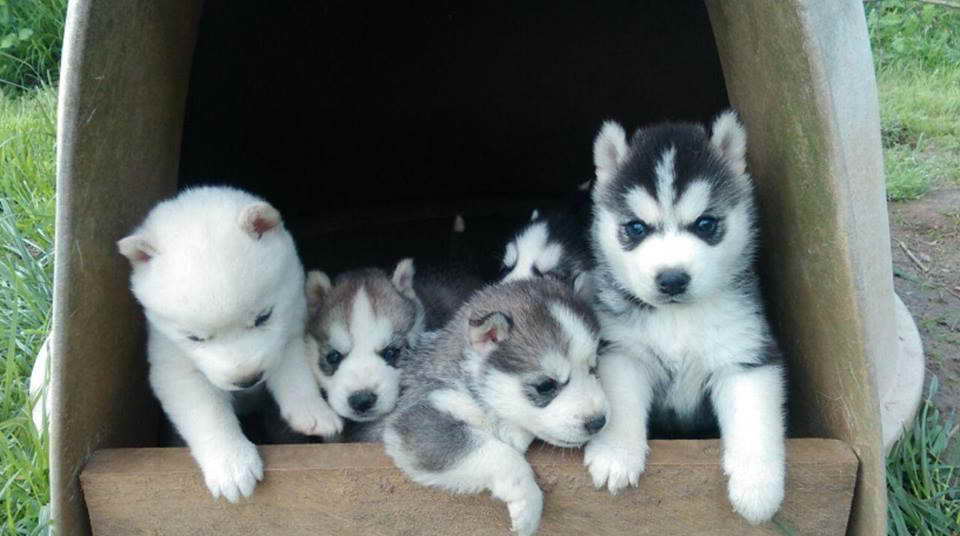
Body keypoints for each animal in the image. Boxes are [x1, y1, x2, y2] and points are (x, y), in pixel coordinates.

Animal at [116, 185, 344, 502]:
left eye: (263, 317)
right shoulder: (175, 369)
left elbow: (294, 374)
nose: (247, 380)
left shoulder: (289, 328)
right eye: (194, 338)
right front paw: (231, 463)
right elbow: (208, 413)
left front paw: (312, 411)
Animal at [382, 278, 608, 536]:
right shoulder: (417, 418)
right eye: (545, 386)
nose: (598, 421)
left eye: (593, 369)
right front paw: (528, 500)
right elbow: (500, 453)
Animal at [584, 110, 788, 524]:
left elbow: (754, 418)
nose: (672, 279)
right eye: (636, 227)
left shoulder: (745, 356)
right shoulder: (622, 351)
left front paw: (758, 487)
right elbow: (619, 399)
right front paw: (615, 453)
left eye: (705, 224)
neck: (678, 319)